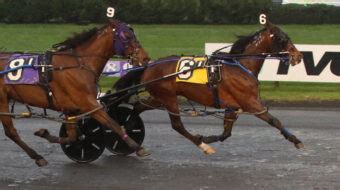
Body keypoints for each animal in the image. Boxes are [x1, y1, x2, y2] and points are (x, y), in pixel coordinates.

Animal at [0, 18, 150, 166]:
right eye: (126, 36)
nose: (145, 58)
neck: (79, 64)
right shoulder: (88, 103)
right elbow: (112, 123)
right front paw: (138, 147)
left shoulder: (70, 108)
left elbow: (72, 136)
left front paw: (44, 134)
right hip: (2, 100)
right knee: (10, 131)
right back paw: (37, 156)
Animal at [115, 21, 304, 154]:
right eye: (283, 39)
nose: (299, 55)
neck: (240, 65)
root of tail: (149, 65)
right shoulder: (250, 102)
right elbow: (274, 120)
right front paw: (296, 140)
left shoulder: (232, 106)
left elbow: (226, 132)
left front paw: (207, 137)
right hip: (168, 98)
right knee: (177, 125)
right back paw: (202, 146)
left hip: (159, 97)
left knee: (138, 106)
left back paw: (126, 131)